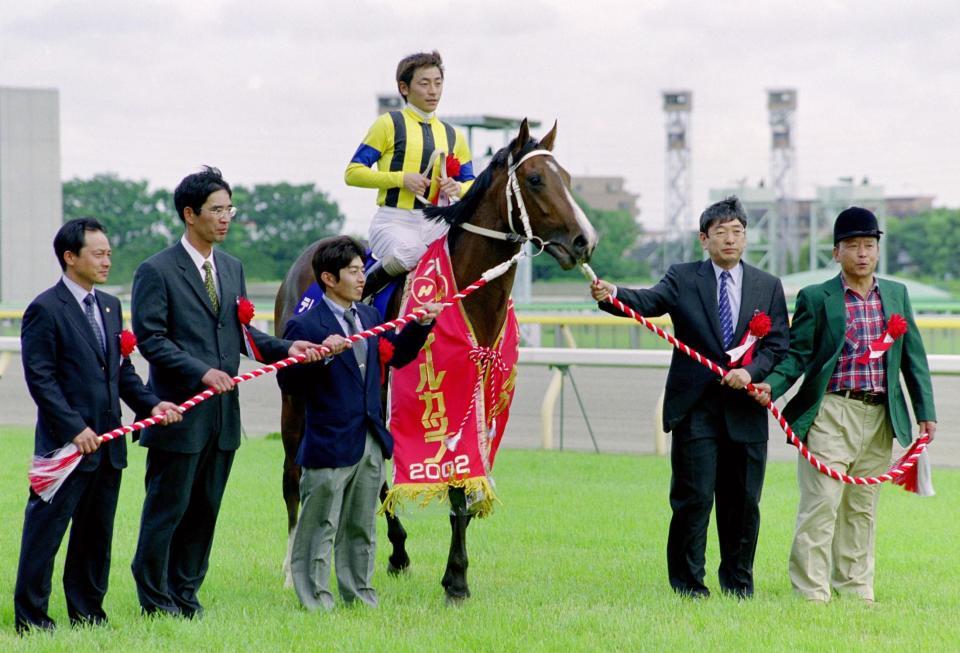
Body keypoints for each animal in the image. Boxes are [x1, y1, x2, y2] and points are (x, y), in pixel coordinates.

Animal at [274, 118, 596, 600]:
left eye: (570, 180)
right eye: (536, 179)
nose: (584, 241)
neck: (467, 294)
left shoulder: (481, 397)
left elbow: (464, 486)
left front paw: (453, 571)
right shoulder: (441, 394)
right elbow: (453, 486)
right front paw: (457, 579)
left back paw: (398, 552)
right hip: (295, 397)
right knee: (293, 474)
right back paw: (292, 566)